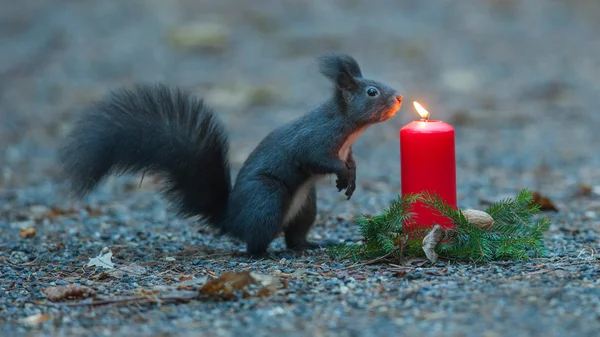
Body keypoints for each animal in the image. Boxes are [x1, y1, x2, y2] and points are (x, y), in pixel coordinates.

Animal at [58, 53, 404, 256]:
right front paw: (342, 174)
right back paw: (266, 252)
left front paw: (352, 176)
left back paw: (312, 243)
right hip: (268, 197)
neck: (347, 126)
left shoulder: (347, 148)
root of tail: (232, 220)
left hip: (306, 205)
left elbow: (351, 161)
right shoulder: (314, 140)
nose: (399, 97)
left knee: (294, 237)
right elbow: (318, 160)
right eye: (371, 92)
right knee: (254, 243)